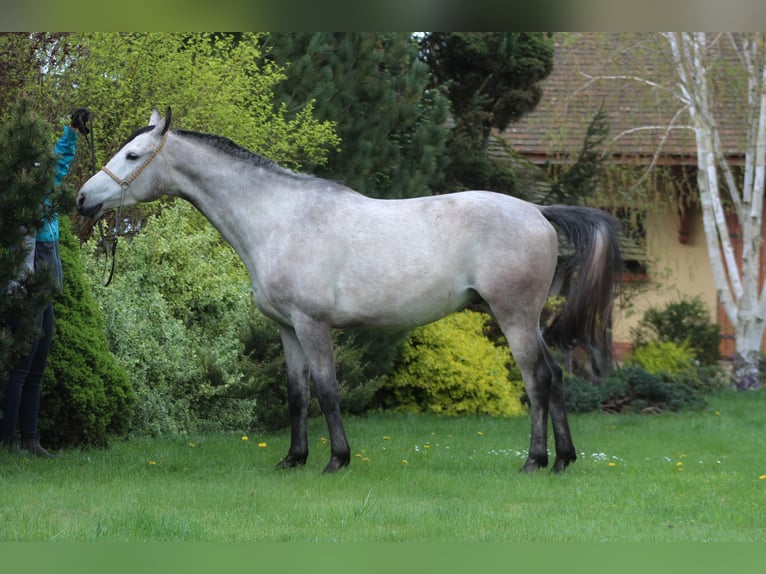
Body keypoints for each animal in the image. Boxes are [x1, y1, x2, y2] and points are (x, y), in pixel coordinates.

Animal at [76, 109, 624, 476]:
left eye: (132, 154)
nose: (83, 198)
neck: (278, 217)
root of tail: (538, 211)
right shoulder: (287, 329)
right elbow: (297, 395)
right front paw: (293, 459)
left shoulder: (312, 324)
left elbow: (327, 391)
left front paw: (336, 460)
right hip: (527, 320)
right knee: (554, 376)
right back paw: (564, 461)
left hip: (513, 317)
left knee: (536, 380)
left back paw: (535, 461)